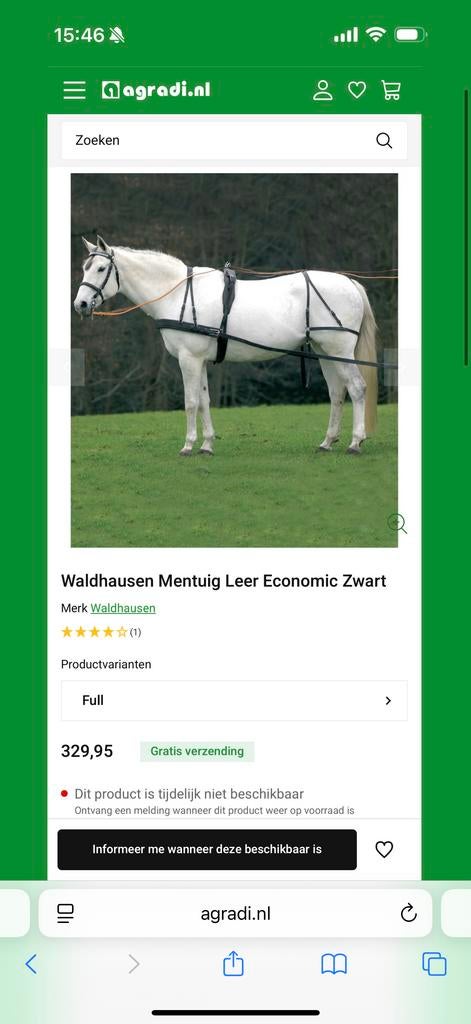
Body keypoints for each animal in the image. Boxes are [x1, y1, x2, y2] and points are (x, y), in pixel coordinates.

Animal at [74, 235, 378, 456]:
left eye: (101, 268)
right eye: (85, 268)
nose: (81, 304)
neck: (178, 294)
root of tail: (350, 282)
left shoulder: (189, 359)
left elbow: (190, 402)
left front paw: (188, 445)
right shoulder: (200, 360)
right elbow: (204, 401)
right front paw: (207, 445)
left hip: (339, 351)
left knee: (357, 389)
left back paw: (355, 442)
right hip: (326, 352)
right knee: (337, 393)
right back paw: (328, 441)